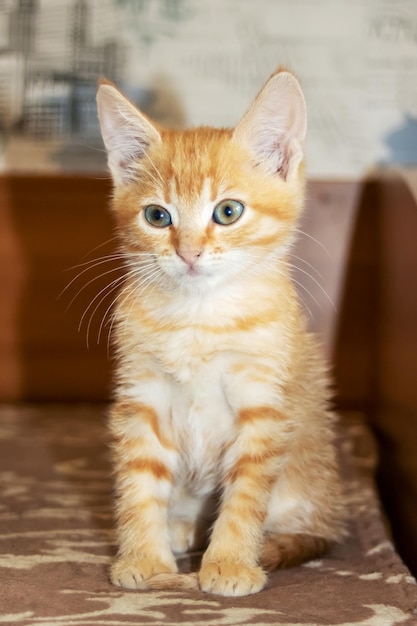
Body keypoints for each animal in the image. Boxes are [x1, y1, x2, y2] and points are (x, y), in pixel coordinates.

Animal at [96, 68, 344, 596]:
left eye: (228, 212)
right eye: (157, 216)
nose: (188, 252)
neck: (199, 318)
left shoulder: (263, 407)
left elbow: (246, 493)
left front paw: (229, 563)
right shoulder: (142, 396)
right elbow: (138, 480)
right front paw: (144, 557)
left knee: (312, 530)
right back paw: (181, 530)